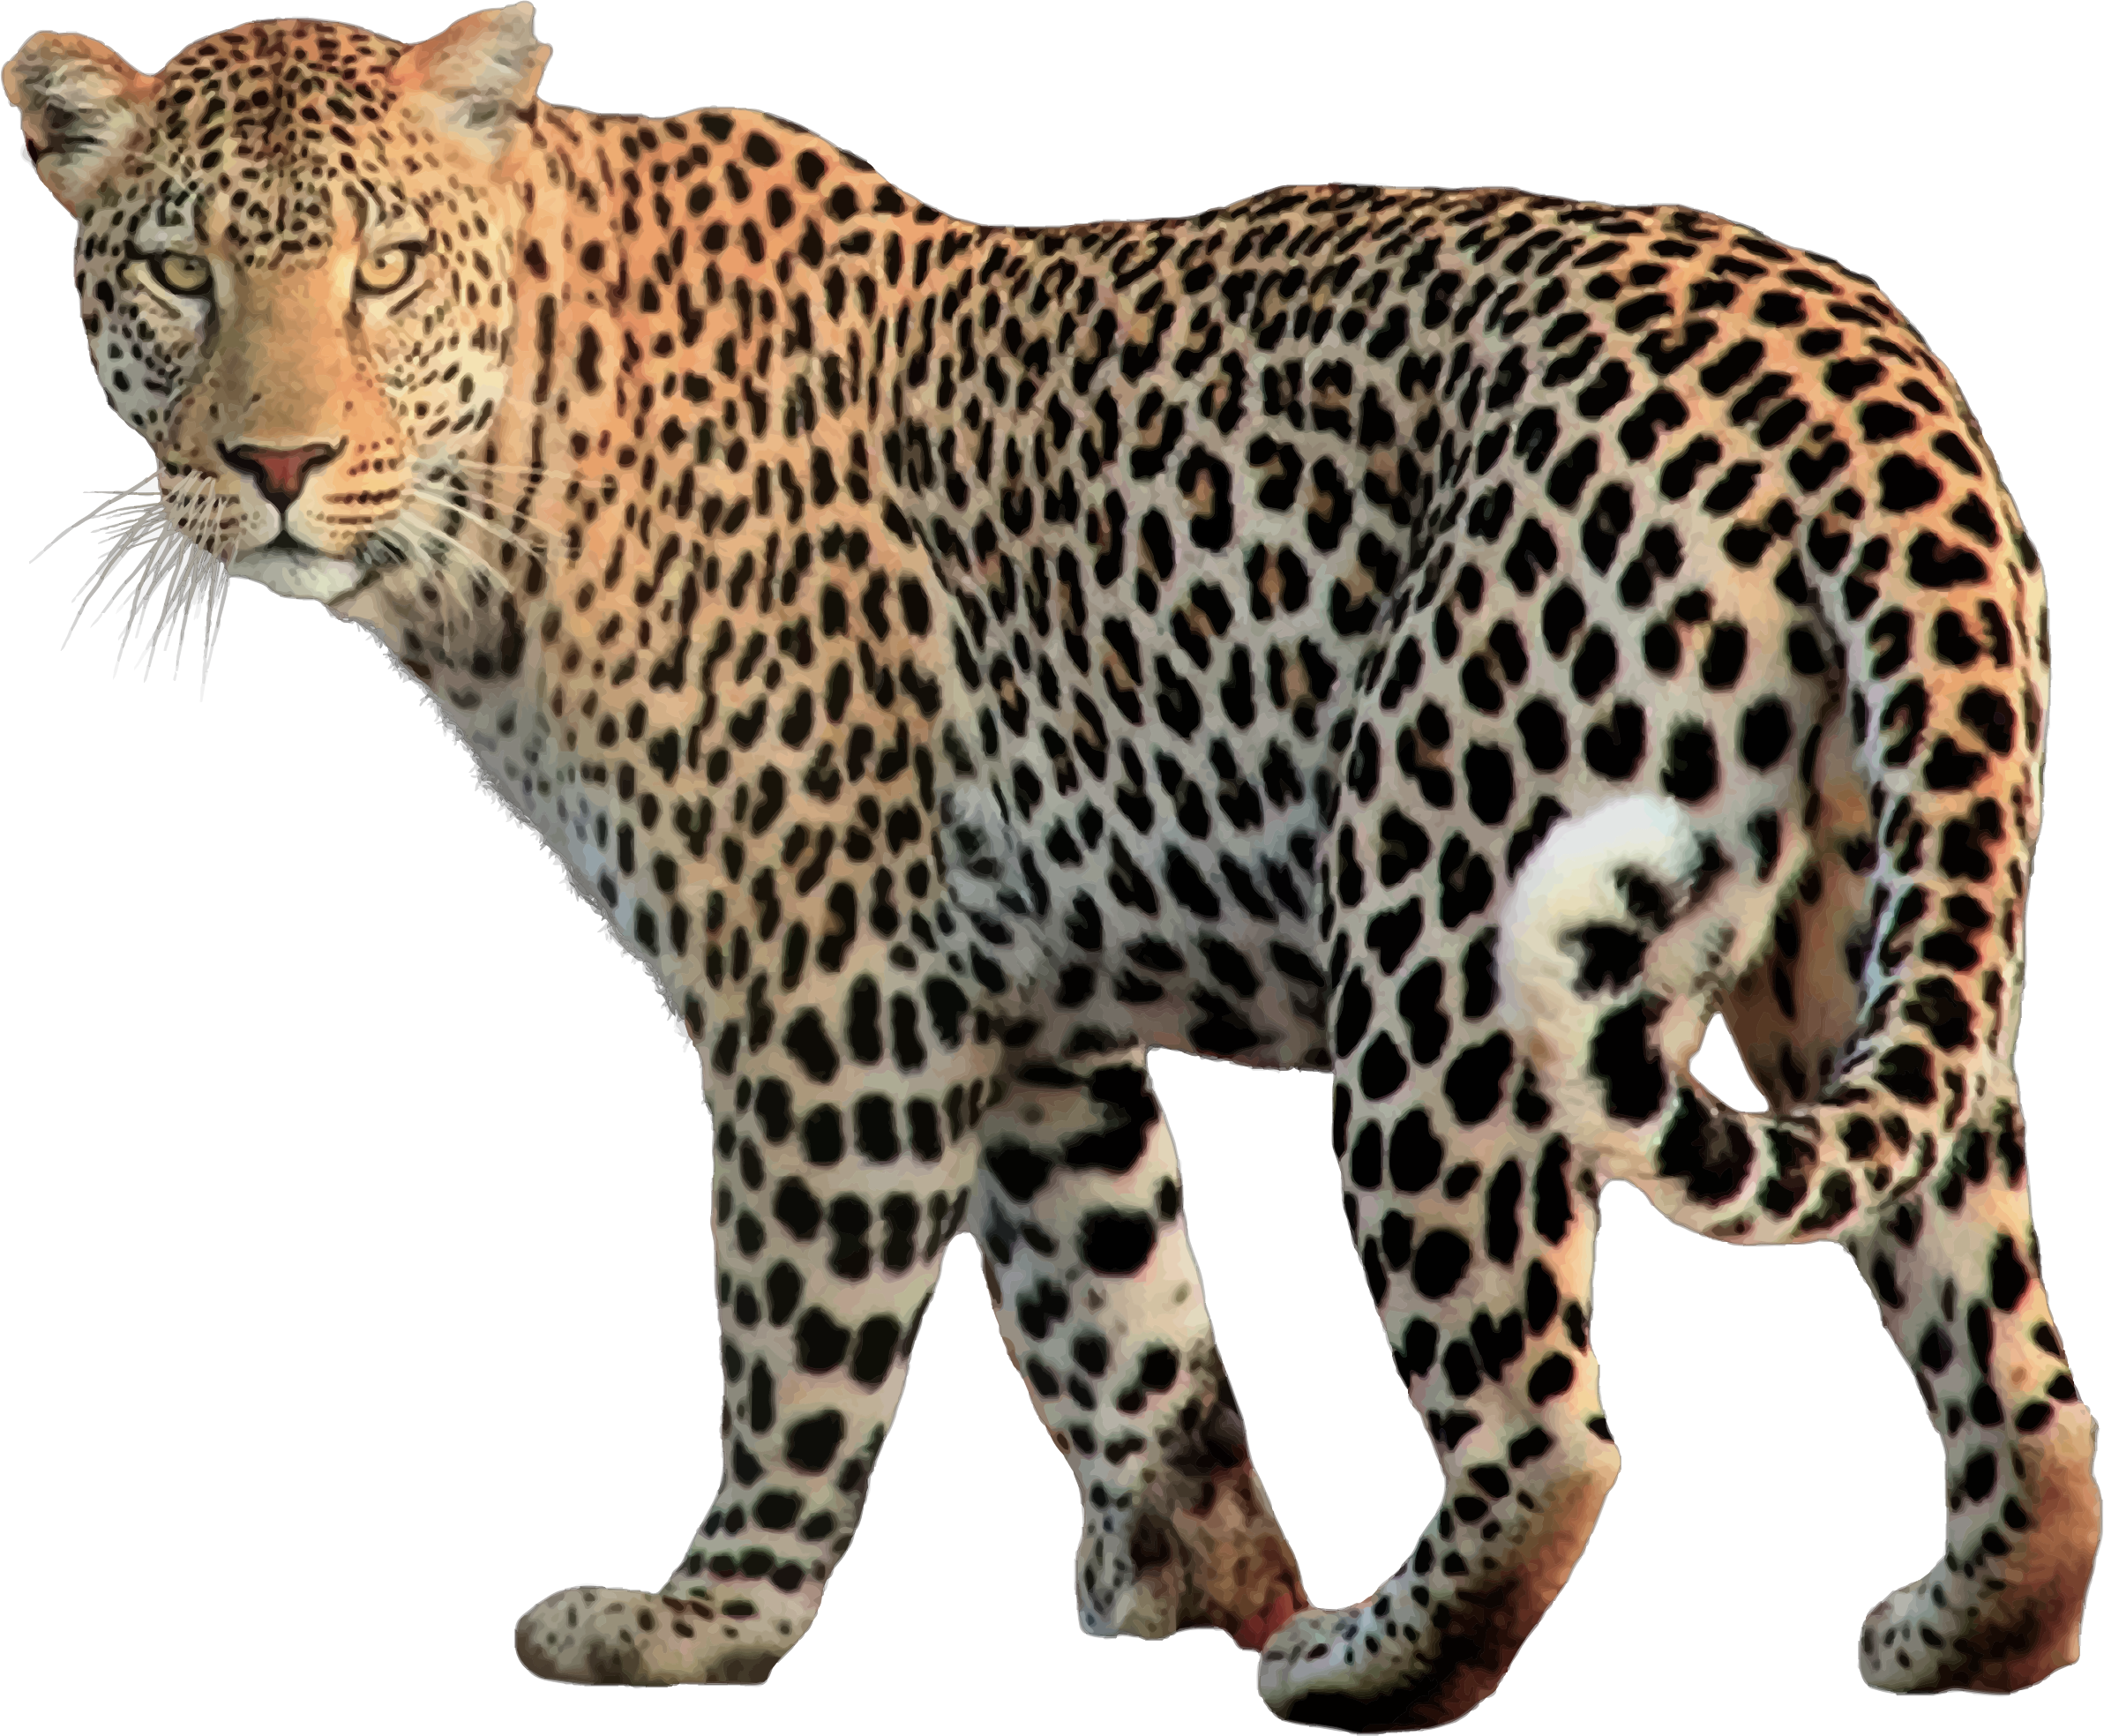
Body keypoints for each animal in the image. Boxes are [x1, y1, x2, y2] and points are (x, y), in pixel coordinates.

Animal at [8, 6, 2095, 1726]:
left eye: (383, 271)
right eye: (183, 273)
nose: (279, 465)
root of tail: (1860, 373)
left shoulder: (829, 990)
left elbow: (798, 1334)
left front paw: (705, 1622)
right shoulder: (1022, 1017)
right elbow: (1124, 1319)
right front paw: (1203, 1579)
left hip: (1443, 928)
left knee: (1543, 1424)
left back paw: (1369, 1662)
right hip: (1862, 932)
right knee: (2013, 1355)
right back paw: (1968, 1624)